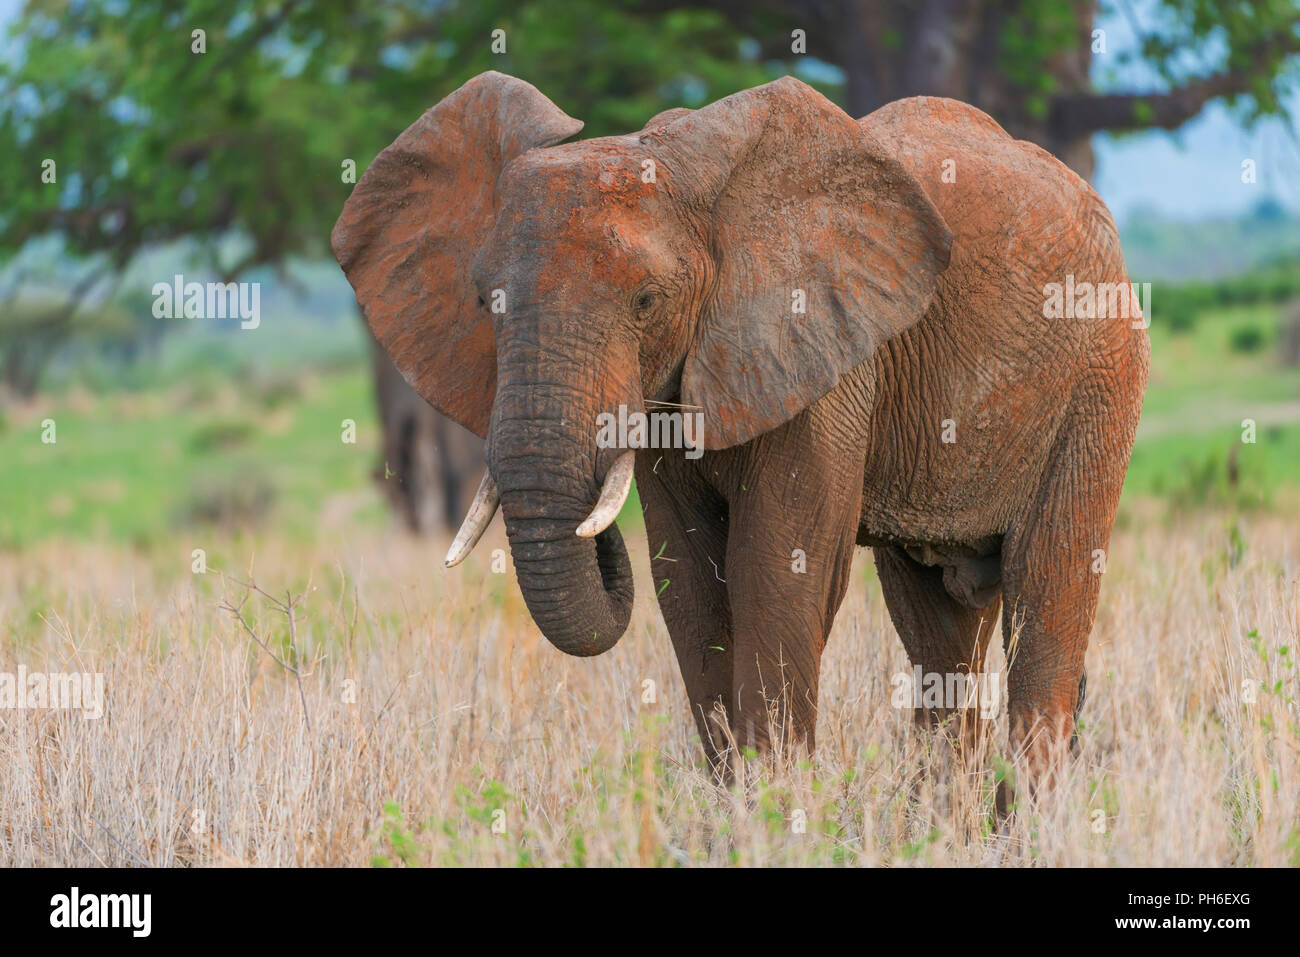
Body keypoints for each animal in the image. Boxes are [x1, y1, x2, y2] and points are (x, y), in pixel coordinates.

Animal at [332, 72, 1149, 785]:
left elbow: (775, 569)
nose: (598, 540)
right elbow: (688, 580)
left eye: (647, 301)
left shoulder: (822, 347)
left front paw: (779, 807)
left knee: (1048, 585)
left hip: (1101, 373)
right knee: (939, 624)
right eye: (483, 300)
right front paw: (739, 802)